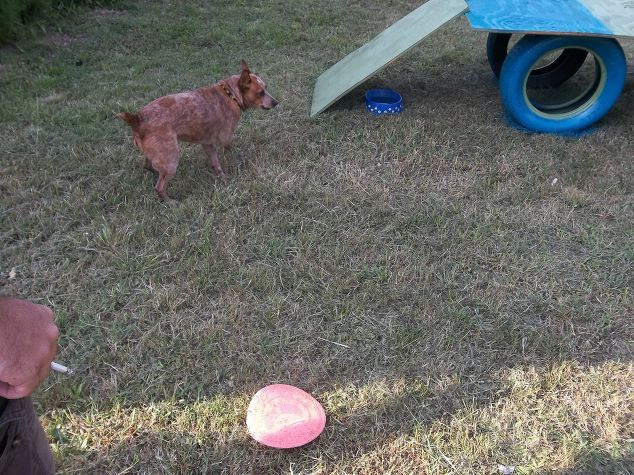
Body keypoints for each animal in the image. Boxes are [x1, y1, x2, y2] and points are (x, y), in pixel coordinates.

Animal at [117, 60, 276, 200]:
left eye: (267, 88)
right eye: (261, 93)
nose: (276, 102)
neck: (231, 95)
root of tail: (137, 119)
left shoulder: (207, 143)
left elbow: (216, 163)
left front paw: (223, 178)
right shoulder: (225, 139)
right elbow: (231, 150)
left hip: (158, 156)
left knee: (147, 165)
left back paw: (155, 174)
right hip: (171, 160)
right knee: (159, 187)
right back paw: (171, 202)